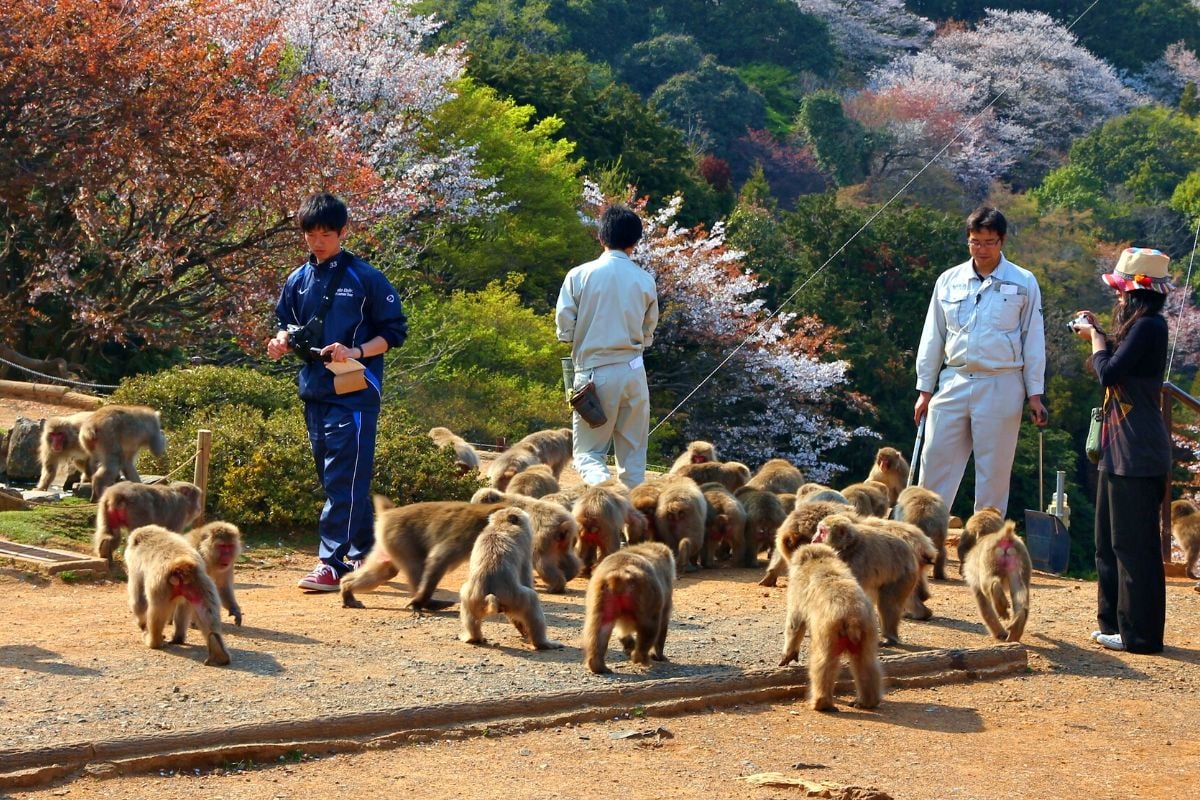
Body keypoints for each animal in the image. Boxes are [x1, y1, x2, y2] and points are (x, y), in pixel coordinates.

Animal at [123, 522, 229, 666]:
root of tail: (181, 565)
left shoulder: (135, 565)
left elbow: (138, 601)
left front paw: (142, 625)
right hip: (202, 584)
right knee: (206, 612)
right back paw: (216, 651)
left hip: (161, 588)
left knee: (156, 612)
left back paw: (153, 641)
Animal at [456, 513, 564, 652]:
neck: (500, 525)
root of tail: (491, 593)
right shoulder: (525, 541)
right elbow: (526, 576)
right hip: (515, 598)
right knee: (531, 599)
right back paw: (542, 644)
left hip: (472, 598)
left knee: (468, 607)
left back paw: (473, 638)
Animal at [583, 537, 676, 676]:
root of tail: (619, 573)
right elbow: (663, 621)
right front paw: (658, 655)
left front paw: (629, 645)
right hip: (647, 594)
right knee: (650, 625)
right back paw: (640, 657)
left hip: (602, 592)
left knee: (601, 626)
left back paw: (598, 666)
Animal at [782, 544, 888, 714]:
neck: (819, 560)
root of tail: (852, 617)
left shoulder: (797, 589)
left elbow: (795, 623)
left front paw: (788, 654)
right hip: (868, 628)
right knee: (866, 661)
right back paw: (867, 702)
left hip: (829, 630)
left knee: (823, 662)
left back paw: (822, 703)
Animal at [816, 515, 916, 647]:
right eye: (818, 530)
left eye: (822, 532)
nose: (814, 539)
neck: (850, 546)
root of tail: (912, 557)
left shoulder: (857, 562)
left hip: (904, 578)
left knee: (888, 603)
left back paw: (890, 637)